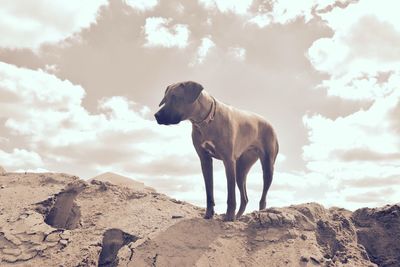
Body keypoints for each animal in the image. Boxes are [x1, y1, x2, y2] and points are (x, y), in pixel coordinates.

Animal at [155, 81, 280, 222]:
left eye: (176, 97)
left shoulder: (229, 161)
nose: (156, 116)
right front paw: (209, 214)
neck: (206, 121)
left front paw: (229, 216)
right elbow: (209, 192)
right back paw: (238, 217)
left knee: (262, 198)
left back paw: (257, 213)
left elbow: (231, 195)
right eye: (165, 99)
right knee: (245, 198)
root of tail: (270, 123)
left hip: (267, 166)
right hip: (241, 170)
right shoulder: (205, 160)